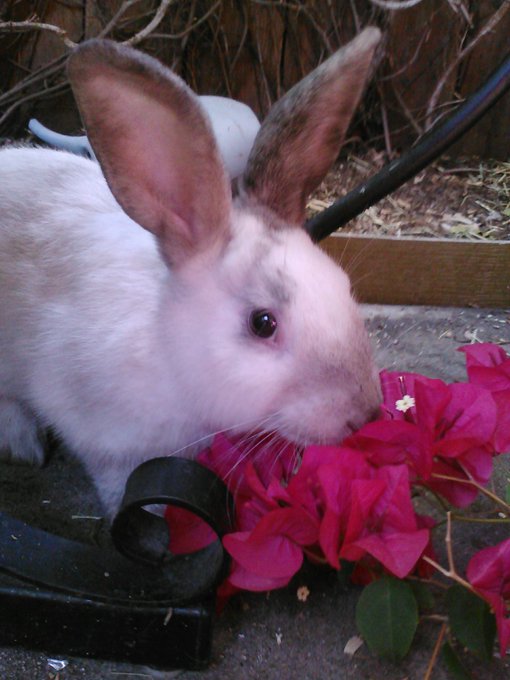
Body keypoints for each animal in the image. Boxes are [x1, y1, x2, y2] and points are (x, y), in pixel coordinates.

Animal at [0, 27, 382, 518]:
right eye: (262, 323)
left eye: (343, 285)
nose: (365, 412)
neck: (168, 350)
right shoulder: (109, 446)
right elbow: (120, 489)